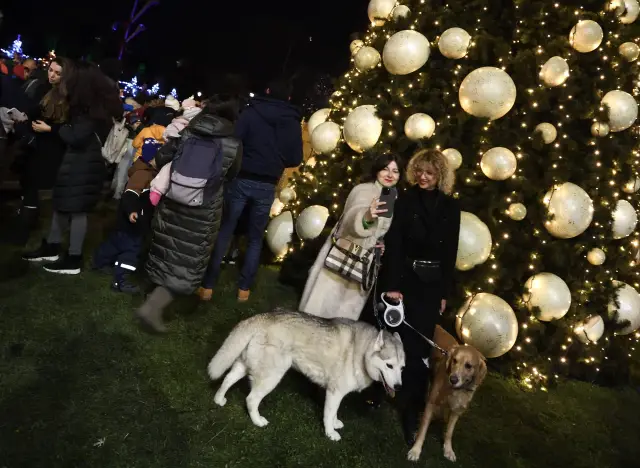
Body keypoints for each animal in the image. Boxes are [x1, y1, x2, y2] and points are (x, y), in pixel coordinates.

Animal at [208, 308, 404, 440]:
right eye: (389, 365)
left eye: (402, 368)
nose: (398, 387)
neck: (362, 352)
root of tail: (263, 316)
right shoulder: (335, 392)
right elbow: (329, 414)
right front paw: (330, 433)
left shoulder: (336, 393)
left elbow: (334, 413)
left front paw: (335, 424)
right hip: (272, 377)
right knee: (251, 399)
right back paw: (257, 421)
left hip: (245, 364)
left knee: (228, 379)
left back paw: (219, 399)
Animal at [408, 326, 488, 460]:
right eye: (455, 360)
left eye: (468, 366)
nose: (453, 379)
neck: (454, 390)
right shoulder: (431, 403)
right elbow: (423, 428)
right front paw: (415, 450)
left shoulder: (456, 410)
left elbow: (450, 432)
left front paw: (448, 449)